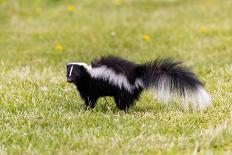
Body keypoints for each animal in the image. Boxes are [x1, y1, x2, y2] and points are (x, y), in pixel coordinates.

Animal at [66, 55, 211, 110]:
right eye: (68, 73)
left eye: (75, 74)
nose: (68, 80)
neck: (88, 73)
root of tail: (136, 75)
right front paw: (86, 107)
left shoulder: (91, 86)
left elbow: (90, 98)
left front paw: (87, 108)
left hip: (123, 88)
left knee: (124, 100)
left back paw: (122, 110)